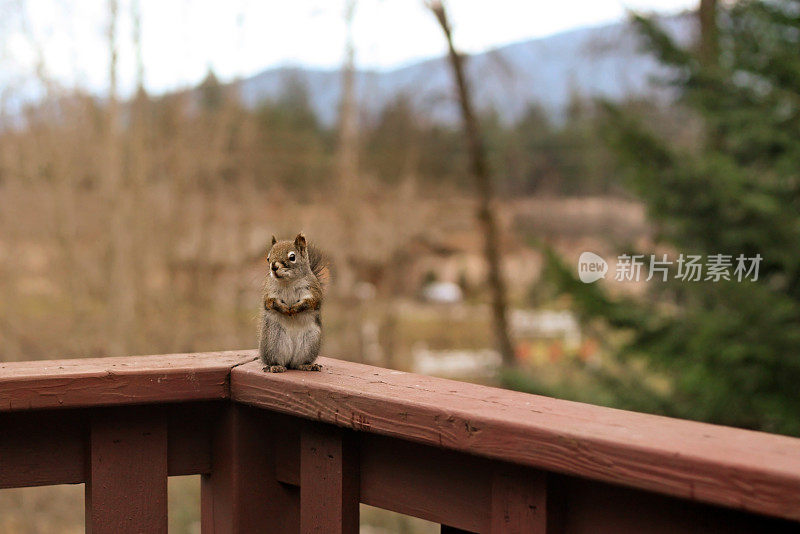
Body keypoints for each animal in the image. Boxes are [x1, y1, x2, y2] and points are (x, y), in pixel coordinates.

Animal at [258, 232, 330, 374]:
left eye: (292, 257)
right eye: (268, 258)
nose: (273, 267)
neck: (288, 281)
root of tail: (289, 362)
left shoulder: (313, 290)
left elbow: (311, 302)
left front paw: (295, 308)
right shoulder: (269, 292)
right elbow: (269, 303)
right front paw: (285, 309)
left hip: (310, 341)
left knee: (298, 363)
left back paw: (307, 365)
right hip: (273, 340)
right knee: (277, 360)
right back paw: (275, 366)